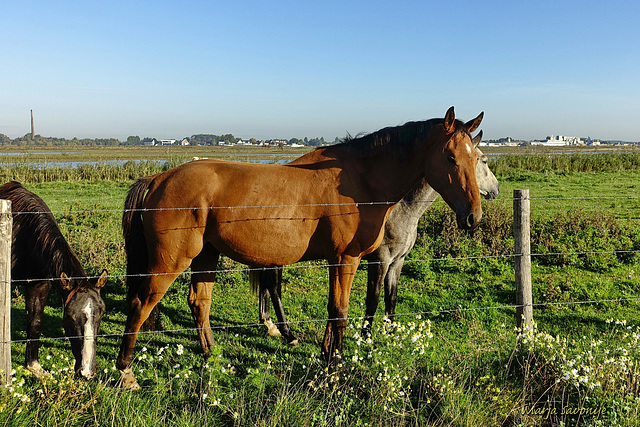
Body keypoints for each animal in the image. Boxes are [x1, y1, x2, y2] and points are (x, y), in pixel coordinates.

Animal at [0, 182, 109, 380]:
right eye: (70, 316)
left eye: (101, 313)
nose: (87, 372)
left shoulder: (39, 286)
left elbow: (35, 323)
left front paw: (34, 367)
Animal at [117, 108, 482, 392]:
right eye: (450, 157)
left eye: (477, 158)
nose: (473, 216)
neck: (360, 183)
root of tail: (161, 177)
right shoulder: (347, 259)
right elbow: (341, 312)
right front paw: (334, 365)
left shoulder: (345, 261)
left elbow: (336, 309)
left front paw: (327, 357)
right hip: (171, 261)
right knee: (141, 304)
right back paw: (126, 372)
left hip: (206, 255)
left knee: (199, 303)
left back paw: (213, 356)